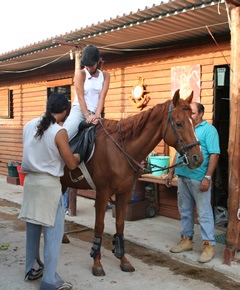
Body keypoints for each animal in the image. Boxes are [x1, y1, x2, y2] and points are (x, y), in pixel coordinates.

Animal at [60, 90, 202, 276]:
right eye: (179, 124)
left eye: (194, 122)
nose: (198, 158)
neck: (120, 150)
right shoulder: (102, 193)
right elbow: (99, 225)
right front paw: (97, 263)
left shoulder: (124, 193)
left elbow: (120, 225)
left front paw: (123, 260)